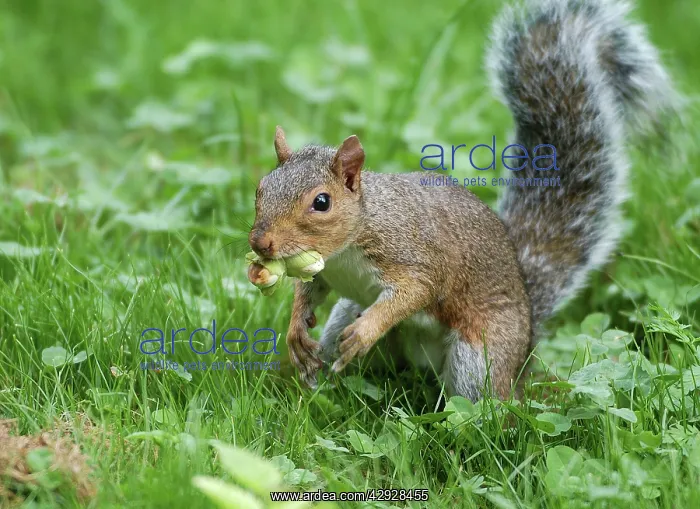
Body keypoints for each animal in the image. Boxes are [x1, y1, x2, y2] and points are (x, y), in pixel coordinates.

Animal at [247, 0, 677, 401]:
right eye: (261, 188)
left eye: (322, 202)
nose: (260, 243)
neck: (351, 240)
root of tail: (526, 344)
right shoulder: (322, 271)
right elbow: (308, 292)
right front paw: (296, 330)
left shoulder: (413, 256)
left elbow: (415, 292)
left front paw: (366, 331)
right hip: (348, 314)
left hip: (479, 357)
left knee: (488, 404)